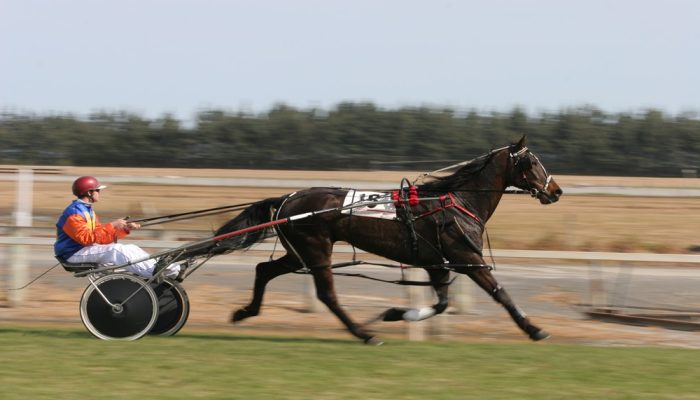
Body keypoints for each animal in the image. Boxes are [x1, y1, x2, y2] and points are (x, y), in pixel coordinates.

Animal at [194, 135, 560, 344]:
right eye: (532, 161)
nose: (556, 191)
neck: (456, 202)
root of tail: (289, 198)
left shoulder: (437, 264)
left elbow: (442, 303)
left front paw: (397, 314)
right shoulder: (466, 258)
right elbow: (501, 293)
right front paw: (534, 329)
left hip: (299, 252)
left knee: (264, 270)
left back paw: (245, 312)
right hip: (316, 249)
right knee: (327, 295)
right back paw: (364, 334)